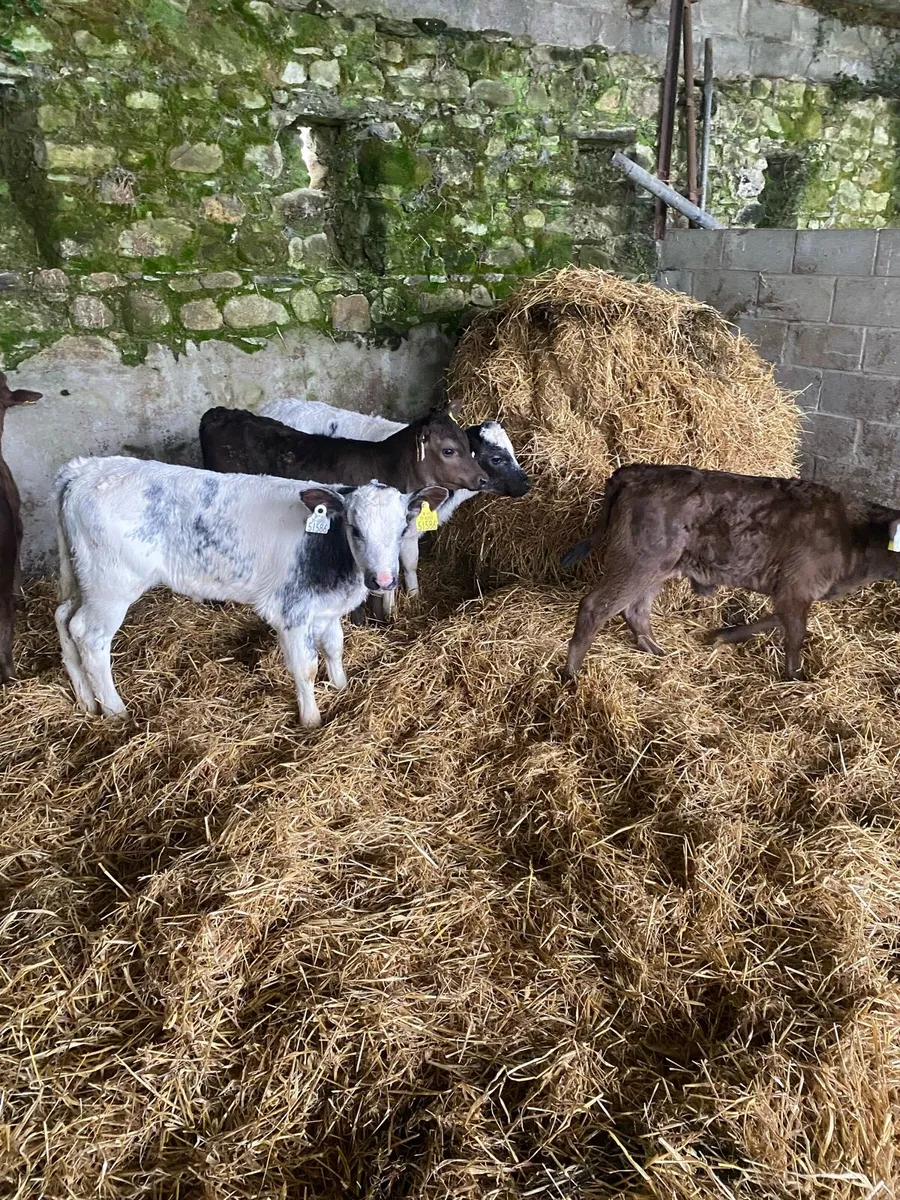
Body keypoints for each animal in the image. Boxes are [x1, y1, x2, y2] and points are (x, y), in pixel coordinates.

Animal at [53, 454, 446, 727]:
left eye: (402, 528)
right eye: (354, 528)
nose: (383, 580)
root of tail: (85, 468)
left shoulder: (325, 608)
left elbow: (335, 648)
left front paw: (342, 688)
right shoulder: (290, 611)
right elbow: (305, 666)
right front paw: (312, 720)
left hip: (82, 577)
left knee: (64, 618)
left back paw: (87, 702)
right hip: (112, 584)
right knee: (89, 636)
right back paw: (116, 711)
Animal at [258, 397, 531, 616]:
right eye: (496, 458)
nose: (526, 484)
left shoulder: (409, 532)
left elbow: (409, 565)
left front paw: (414, 597)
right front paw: (392, 610)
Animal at [560, 463, 900, 683]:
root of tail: (636, 470)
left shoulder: (790, 590)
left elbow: (775, 621)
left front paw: (721, 636)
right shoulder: (796, 586)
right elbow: (795, 636)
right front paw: (797, 679)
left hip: (658, 567)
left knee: (636, 610)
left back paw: (658, 652)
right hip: (638, 561)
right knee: (595, 606)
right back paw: (571, 676)